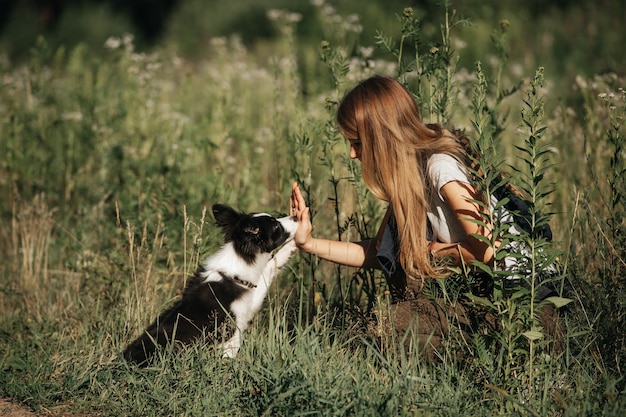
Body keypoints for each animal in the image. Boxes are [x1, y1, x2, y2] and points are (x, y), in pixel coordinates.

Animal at [124, 203, 298, 366]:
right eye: (276, 226)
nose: (296, 217)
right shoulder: (231, 331)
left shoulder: (250, 299)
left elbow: (270, 266)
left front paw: (291, 248)